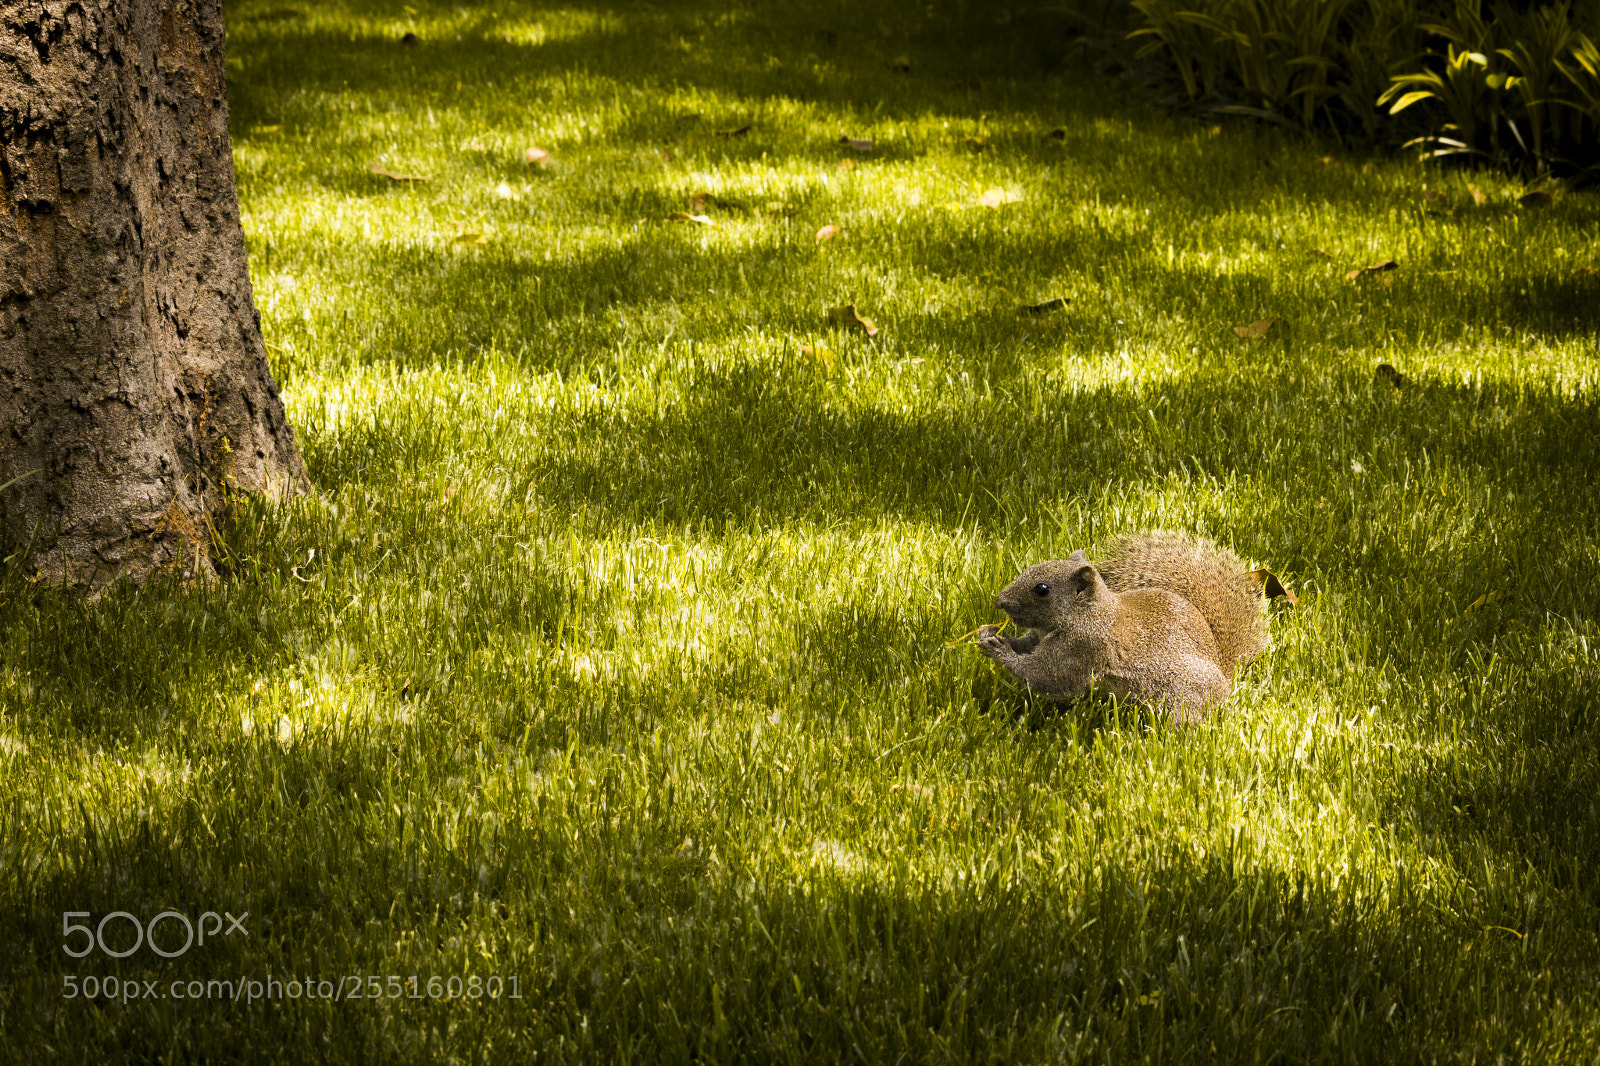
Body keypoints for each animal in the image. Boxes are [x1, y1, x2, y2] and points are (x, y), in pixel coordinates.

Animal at [976, 532, 1269, 722]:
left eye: (1042, 589)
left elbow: (1044, 676)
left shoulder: (1082, 649)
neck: (1090, 614)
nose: (1000, 601)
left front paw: (999, 650)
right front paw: (992, 633)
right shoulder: (1042, 636)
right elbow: (1027, 645)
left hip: (1185, 693)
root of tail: (1224, 682)